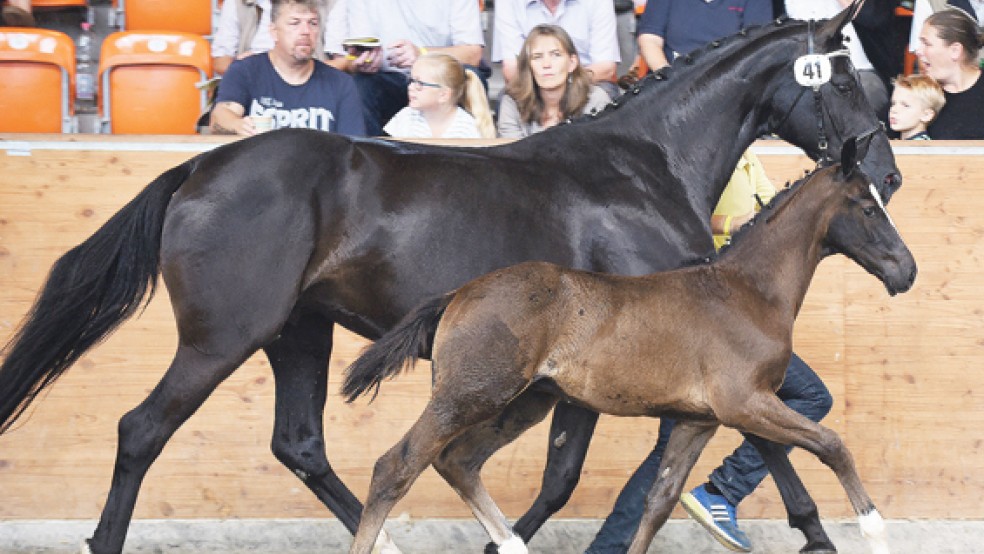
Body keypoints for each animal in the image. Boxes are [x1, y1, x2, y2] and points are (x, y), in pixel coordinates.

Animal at [344, 141, 916, 552]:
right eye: (868, 207)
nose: (906, 271)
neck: (747, 291)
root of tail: (457, 295)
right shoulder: (745, 403)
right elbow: (832, 445)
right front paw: (874, 530)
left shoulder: (699, 419)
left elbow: (659, 500)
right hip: (468, 395)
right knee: (396, 466)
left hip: (527, 401)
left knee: (458, 462)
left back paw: (510, 544)